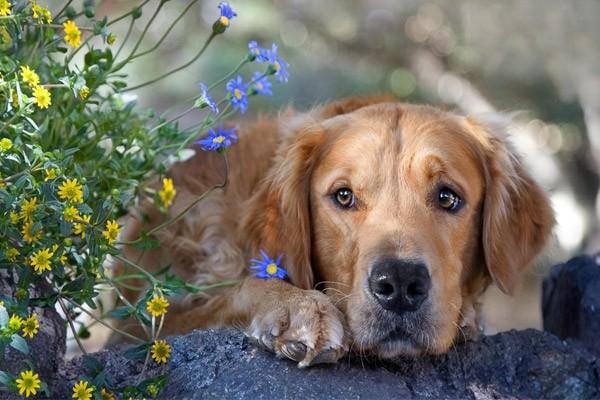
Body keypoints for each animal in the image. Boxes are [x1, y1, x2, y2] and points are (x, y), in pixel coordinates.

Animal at [115, 95, 556, 368]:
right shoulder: (139, 326)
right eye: (344, 196)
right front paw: (297, 308)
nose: (399, 284)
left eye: (448, 197)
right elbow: (238, 290)